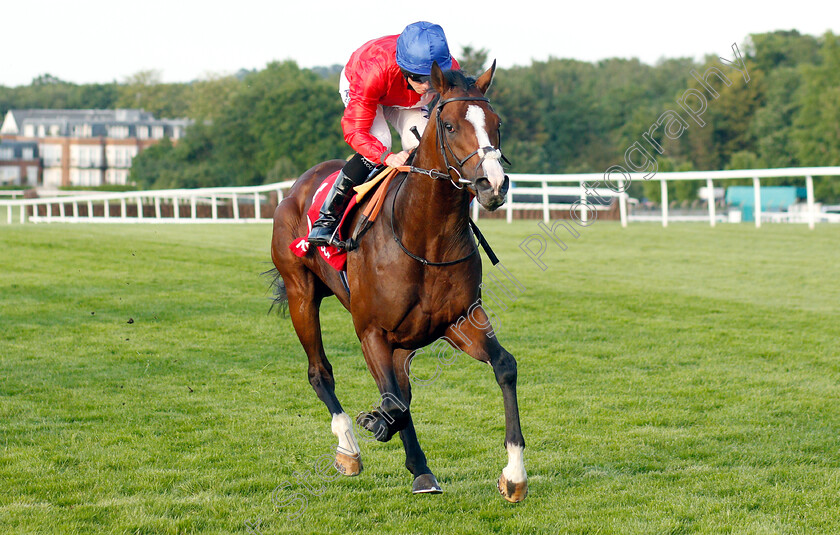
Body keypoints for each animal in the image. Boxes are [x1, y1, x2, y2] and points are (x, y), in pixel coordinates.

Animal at [272, 61, 528, 502]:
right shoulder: (372, 332)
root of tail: (297, 187)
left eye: (497, 124)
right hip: (300, 293)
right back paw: (350, 450)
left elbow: (504, 367)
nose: (492, 185)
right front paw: (377, 426)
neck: (425, 237)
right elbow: (392, 403)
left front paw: (514, 473)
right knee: (320, 371)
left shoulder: (460, 321)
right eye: (448, 125)